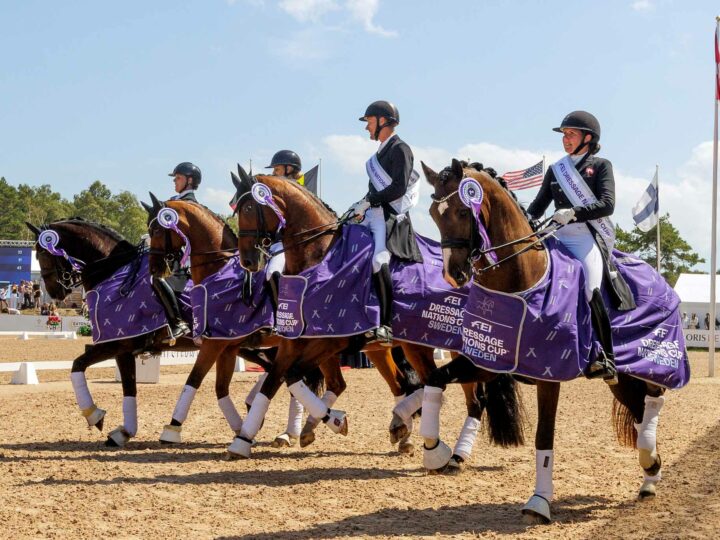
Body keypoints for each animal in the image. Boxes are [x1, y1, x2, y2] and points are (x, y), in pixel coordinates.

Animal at [145, 196, 422, 454]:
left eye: (156, 229)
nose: (154, 269)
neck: (220, 271)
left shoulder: (217, 344)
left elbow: (194, 380)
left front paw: (172, 429)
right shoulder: (230, 346)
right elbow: (222, 387)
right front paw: (243, 426)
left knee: (388, 382)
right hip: (368, 350)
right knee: (376, 383)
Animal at [226, 165, 524, 464]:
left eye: (249, 207)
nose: (248, 260)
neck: (320, 256)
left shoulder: (331, 341)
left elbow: (292, 377)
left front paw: (332, 421)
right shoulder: (293, 342)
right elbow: (278, 380)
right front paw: (245, 438)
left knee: (468, 397)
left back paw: (450, 452)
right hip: (406, 347)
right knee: (418, 383)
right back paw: (405, 428)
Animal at [424, 159, 672, 524]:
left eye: (461, 210)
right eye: (433, 213)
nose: (453, 274)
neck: (521, 280)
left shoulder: (548, 373)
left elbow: (544, 436)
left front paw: (539, 502)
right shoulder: (487, 363)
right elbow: (434, 379)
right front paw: (434, 450)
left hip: (646, 363)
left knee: (653, 400)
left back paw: (649, 466)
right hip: (621, 379)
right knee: (639, 411)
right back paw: (649, 473)